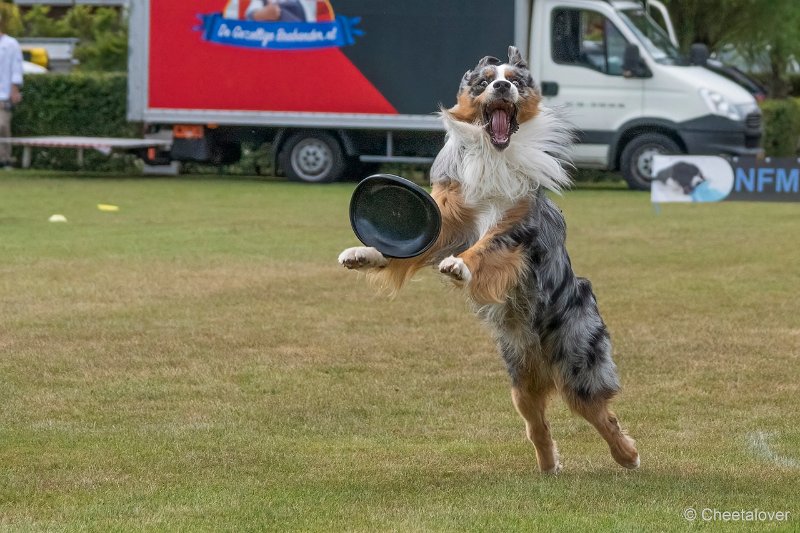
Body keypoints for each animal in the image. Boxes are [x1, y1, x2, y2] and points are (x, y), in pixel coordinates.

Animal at [336, 44, 636, 470]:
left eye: (515, 81)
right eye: (485, 81)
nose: (501, 86)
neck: (494, 154)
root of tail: (543, 359)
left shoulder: (519, 229)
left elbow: (487, 245)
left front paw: (460, 266)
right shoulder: (448, 222)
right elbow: (406, 249)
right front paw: (362, 254)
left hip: (579, 360)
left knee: (600, 412)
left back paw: (628, 455)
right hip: (519, 379)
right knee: (537, 423)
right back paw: (549, 466)